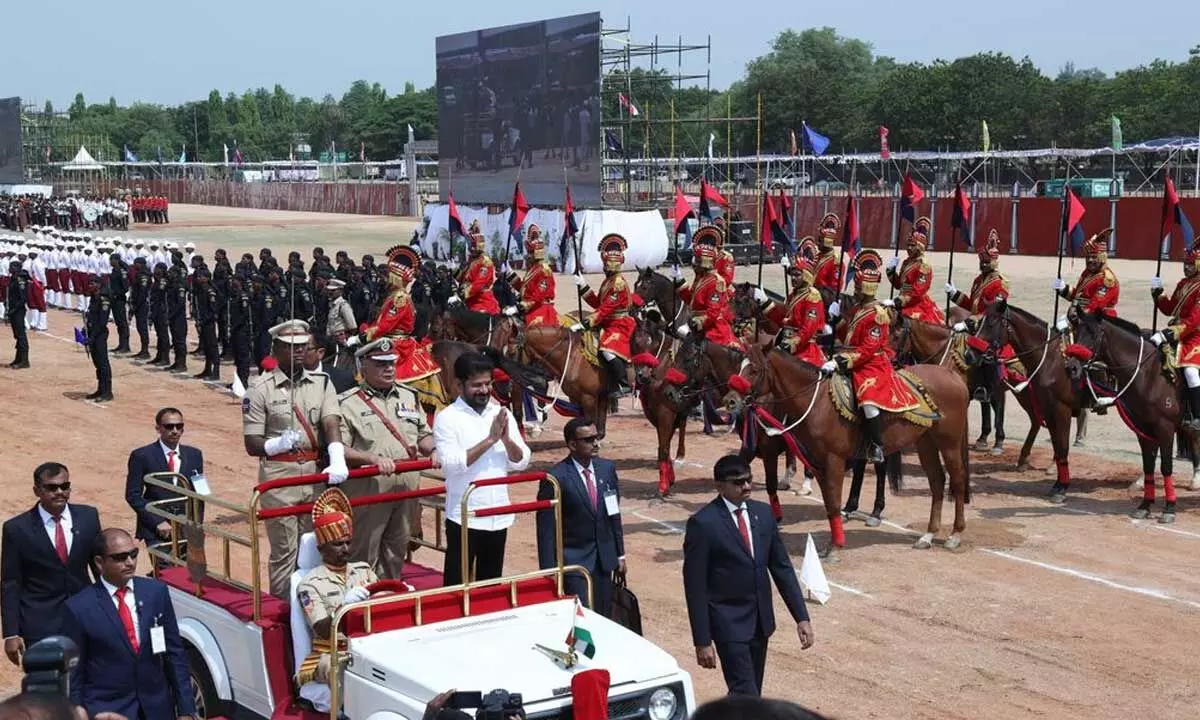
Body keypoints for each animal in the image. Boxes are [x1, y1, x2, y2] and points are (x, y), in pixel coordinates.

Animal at [715, 340, 969, 559]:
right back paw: (928, 535)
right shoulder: (817, 463)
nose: (729, 402)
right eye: (740, 366)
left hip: (949, 443)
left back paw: (955, 535)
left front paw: (836, 547)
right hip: (926, 442)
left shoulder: (833, 460)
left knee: (956, 481)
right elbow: (830, 504)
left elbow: (835, 502)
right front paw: (833, 544)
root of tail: (952, 375)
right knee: (937, 481)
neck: (817, 402)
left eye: (754, 369)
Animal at [1065, 312, 1195, 520]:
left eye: (1094, 334)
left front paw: (1169, 508)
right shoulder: (1143, 430)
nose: (1072, 368)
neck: (1149, 373)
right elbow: (1148, 465)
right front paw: (1145, 505)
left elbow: (1166, 467)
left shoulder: (1165, 429)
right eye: (1075, 332)